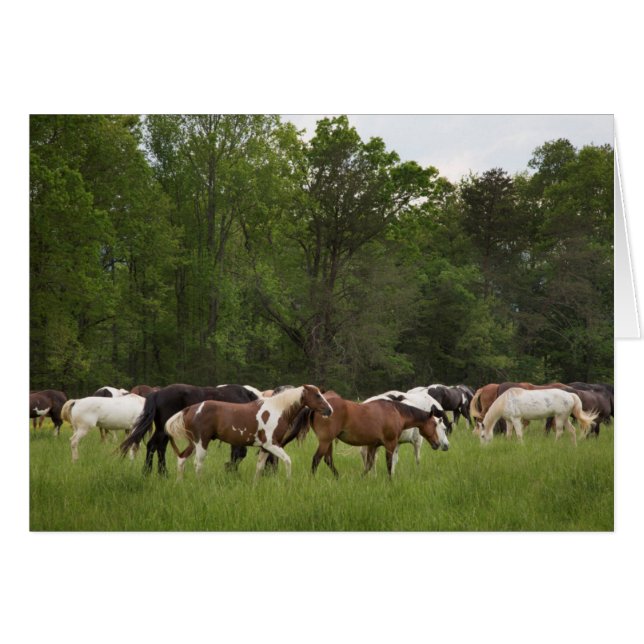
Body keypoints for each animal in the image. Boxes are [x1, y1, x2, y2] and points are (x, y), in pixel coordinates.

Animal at [118, 383, 265, 475]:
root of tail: (157, 393)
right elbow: (239, 453)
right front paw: (231, 470)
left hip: (164, 431)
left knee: (158, 447)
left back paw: (160, 473)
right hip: (162, 430)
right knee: (154, 445)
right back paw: (150, 472)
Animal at [165, 385, 333, 480]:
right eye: (317, 395)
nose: (330, 410)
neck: (276, 410)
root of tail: (190, 409)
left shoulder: (265, 448)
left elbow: (259, 467)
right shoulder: (272, 445)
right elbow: (287, 461)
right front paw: (288, 483)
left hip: (194, 443)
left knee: (181, 459)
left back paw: (179, 483)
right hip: (202, 443)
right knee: (198, 464)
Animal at [291, 391, 449, 479]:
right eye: (437, 425)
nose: (440, 444)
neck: (396, 412)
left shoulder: (373, 445)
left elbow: (368, 465)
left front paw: (361, 479)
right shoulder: (390, 444)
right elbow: (389, 464)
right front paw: (390, 481)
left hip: (328, 441)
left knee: (328, 460)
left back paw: (338, 478)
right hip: (325, 441)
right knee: (316, 459)